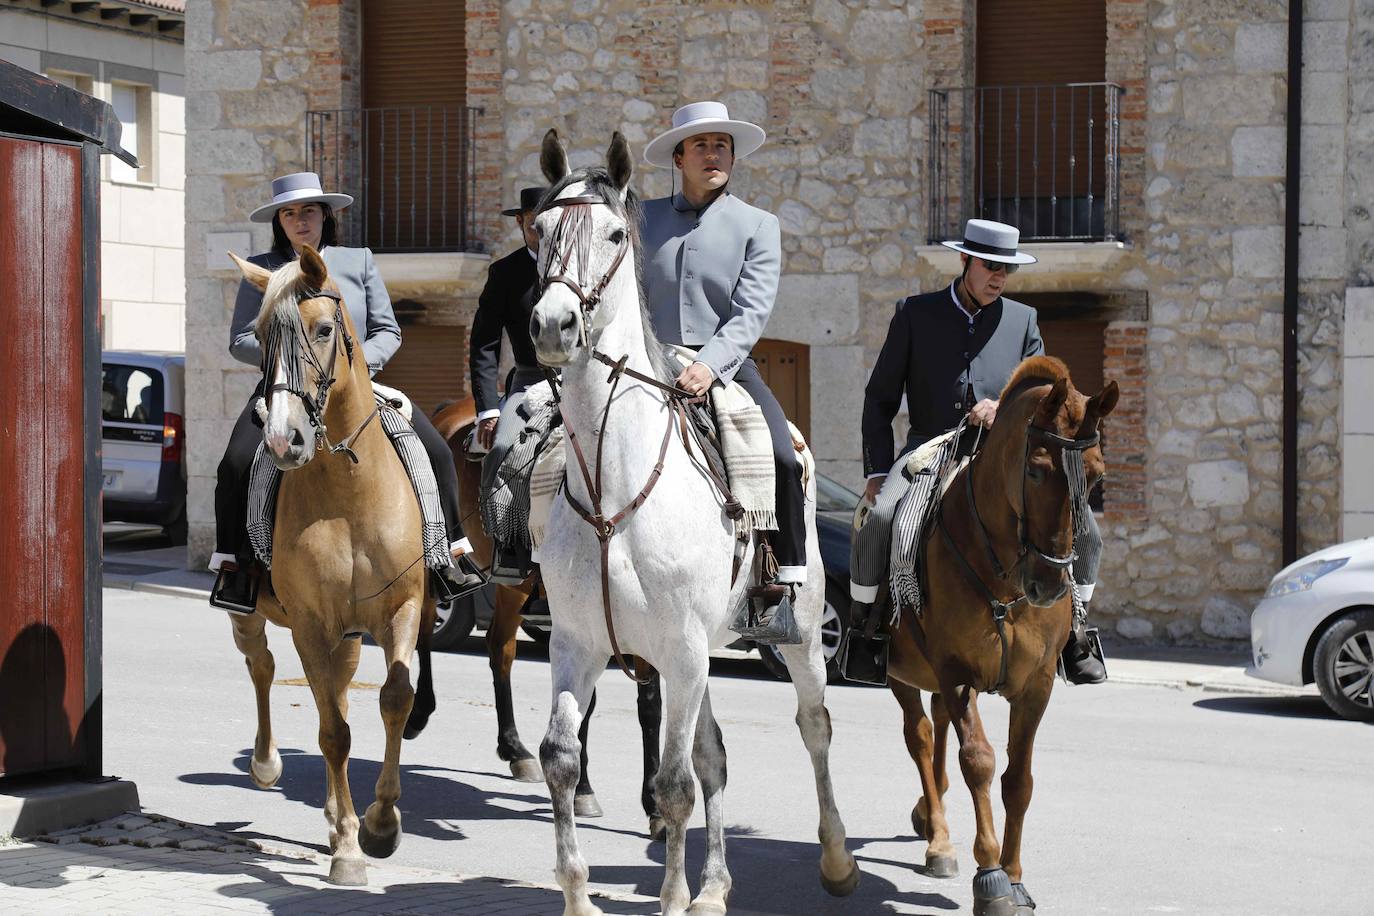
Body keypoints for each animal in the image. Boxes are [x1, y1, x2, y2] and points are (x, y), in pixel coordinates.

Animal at [225, 247, 428, 884]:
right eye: (262, 334)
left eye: (321, 329)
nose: (283, 440)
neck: (347, 487)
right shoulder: (311, 623)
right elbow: (333, 733)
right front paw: (349, 851)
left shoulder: (402, 607)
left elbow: (395, 698)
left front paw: (380, 825)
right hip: (251, 613)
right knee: (262, 666)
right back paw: (269, 766)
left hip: (351, 633)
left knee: (335, 687)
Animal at [527, 130, 857, 916]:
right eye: (539, 231)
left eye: (615, 234)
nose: (553, 325)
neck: (614, 488)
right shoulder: (579, 644)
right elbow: (562, 759)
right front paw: (581, 894)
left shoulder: (678, 652)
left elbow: (672, 785)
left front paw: (671, 898)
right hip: (702, 655)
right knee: (713, 758)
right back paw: (714, 887)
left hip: (797, 639)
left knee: (814, 729)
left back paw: (834, 862)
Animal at [890, 357, 1115, 916]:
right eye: (1035, 469)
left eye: (1097, 475)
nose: (1050, 583)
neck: (1005, 576)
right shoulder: (956, 671)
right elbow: (980, 761)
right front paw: (990, 874)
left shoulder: (1036, 685)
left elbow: (1019, 779)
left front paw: (1014, 876)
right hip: (903, 672)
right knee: (920, 737)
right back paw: (939, 838)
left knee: (938, 726)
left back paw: (931, 816)